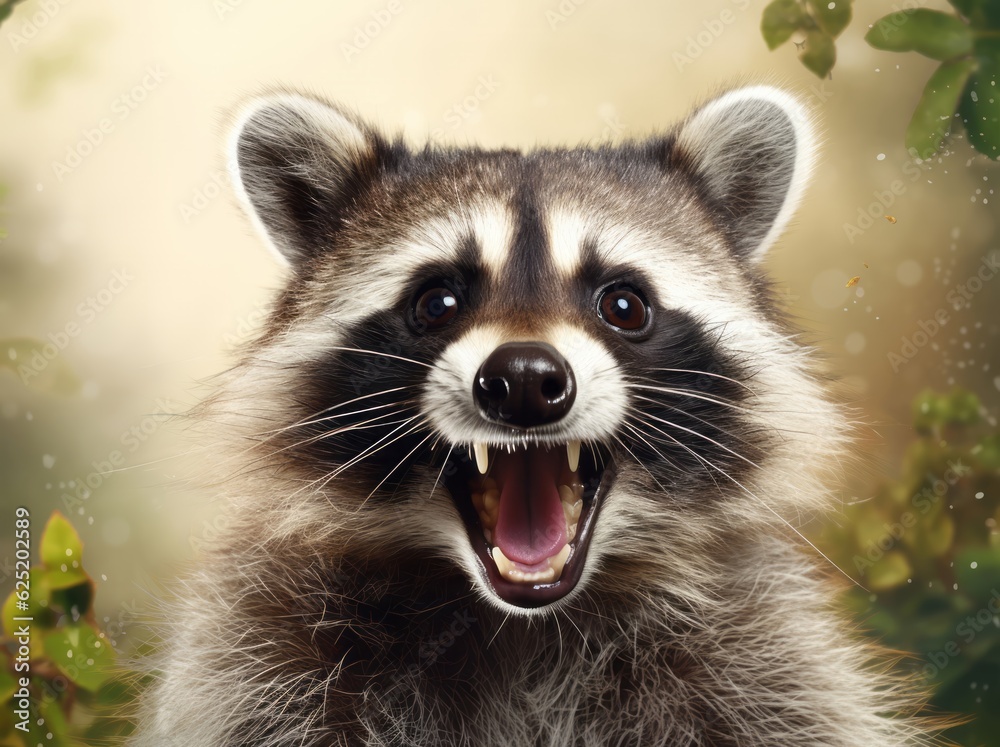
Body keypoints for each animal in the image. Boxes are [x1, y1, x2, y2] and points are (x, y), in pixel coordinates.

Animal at [134, 86, 937, 746]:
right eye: (437, 302)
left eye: (624, 304)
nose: (523, 380)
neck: (519, 623)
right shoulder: (257, 658)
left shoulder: (764, 662)